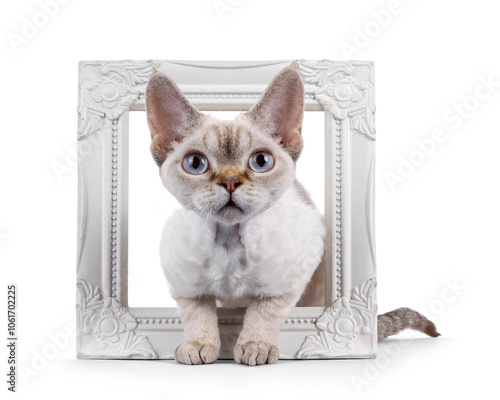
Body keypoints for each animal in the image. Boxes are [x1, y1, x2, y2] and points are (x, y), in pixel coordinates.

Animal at [144, 65, 438, 366]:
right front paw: (198, 344)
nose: (230, 181)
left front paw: (255, 345)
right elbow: (197, 314)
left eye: (261, 161)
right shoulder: (184, 284)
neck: (228, 241)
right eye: (195, 164)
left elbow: (263, 311)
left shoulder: (297, 271)